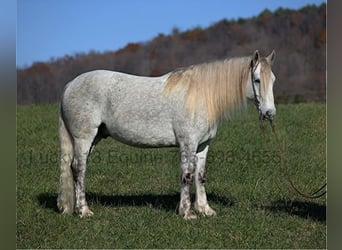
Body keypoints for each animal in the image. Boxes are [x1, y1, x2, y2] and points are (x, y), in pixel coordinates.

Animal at [56, 50, 276, 219]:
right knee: (78, 169)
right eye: (257, 80)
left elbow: (200, 176)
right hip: (84, 139)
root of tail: (70, 85)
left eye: (273, 80)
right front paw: (187, 212)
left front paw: (205, 209)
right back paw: (83, 211)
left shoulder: (203, 146)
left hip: (93, 139)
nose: (270, 113)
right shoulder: (188, 144)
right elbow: (187, 175)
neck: (201, 95)